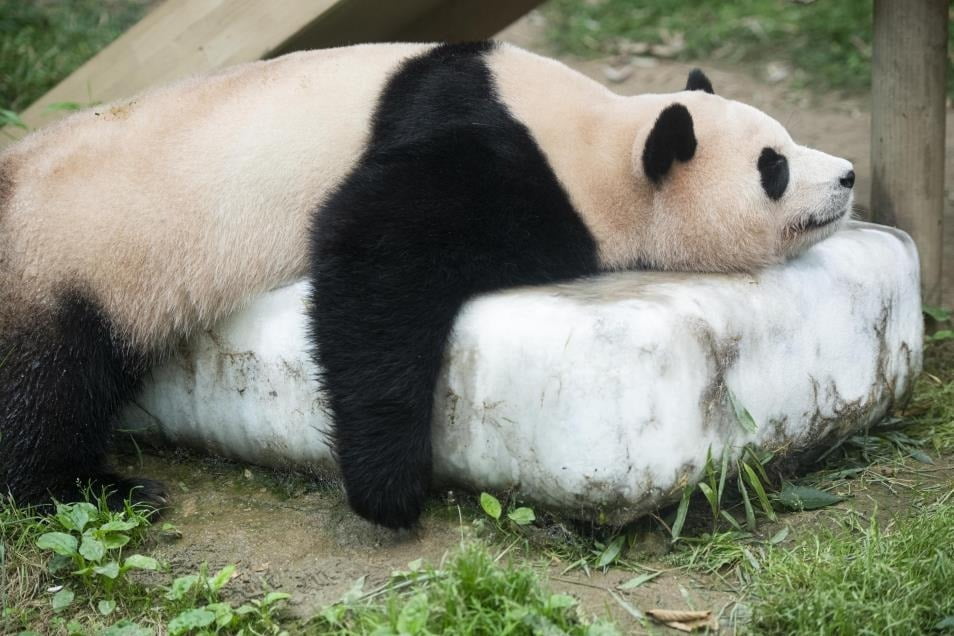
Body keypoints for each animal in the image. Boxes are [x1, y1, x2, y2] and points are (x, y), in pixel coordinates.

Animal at [0, 39, 848, 528]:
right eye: (773, 166)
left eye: (787, 143)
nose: (844, 175)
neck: (604, 138)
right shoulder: (492, 148)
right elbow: (371, 255)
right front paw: (389, 488)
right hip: (60, 260)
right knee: (48, 379)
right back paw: (87, 488)